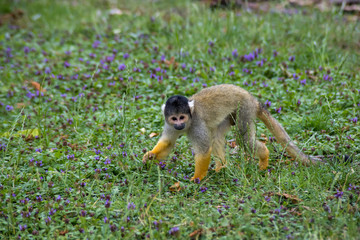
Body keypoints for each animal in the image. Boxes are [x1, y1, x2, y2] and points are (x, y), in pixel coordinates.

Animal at [142, 83, 320, 181]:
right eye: (174, 118)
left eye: (182, 117)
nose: (180, 124)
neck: (189, 122)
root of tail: (254, 100)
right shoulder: (169, 124)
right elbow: (168, 142)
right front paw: (150, 155)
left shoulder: (197, 124)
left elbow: (204, 150)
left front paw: (196, 179)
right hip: (231, 115)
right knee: (217, 136)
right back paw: (221, 168)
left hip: (245, 109)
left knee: (244, 139)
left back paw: (263, 158)